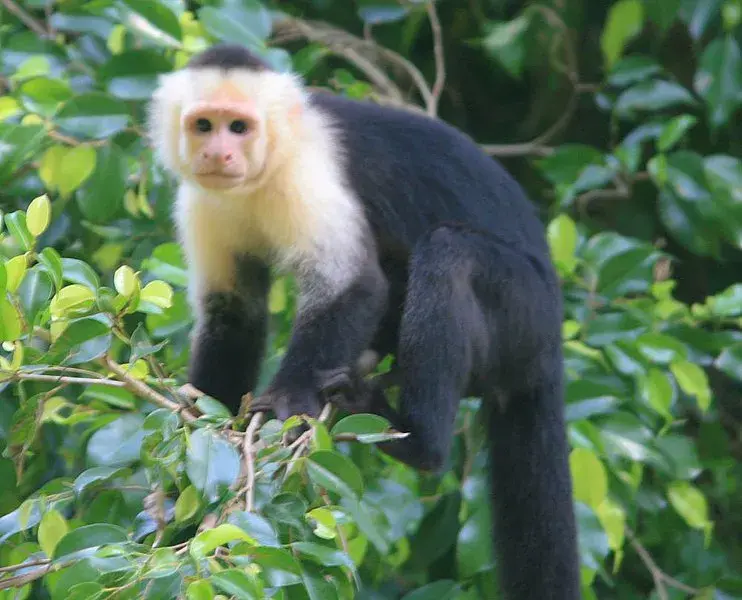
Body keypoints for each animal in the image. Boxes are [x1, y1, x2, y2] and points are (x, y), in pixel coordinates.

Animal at [150, 43, 580, 600]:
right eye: (204, 125)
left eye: (239, 128)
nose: (218, 154)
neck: (266, 171)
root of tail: (551, 344)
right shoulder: (204, 200)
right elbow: (233, 314)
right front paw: (206, 447)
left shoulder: (306, 172)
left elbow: (353, 284)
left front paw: (288, 399)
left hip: (525, 314)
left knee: (448, 253)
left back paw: (416, 440)